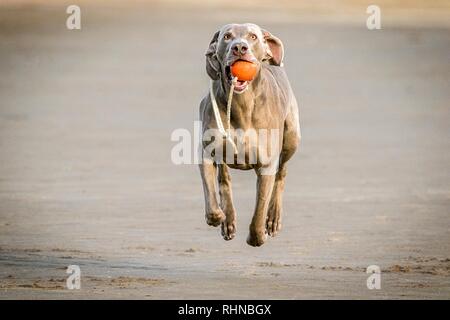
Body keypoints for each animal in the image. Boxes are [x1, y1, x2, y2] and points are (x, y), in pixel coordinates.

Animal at [199, 23, 300, 248]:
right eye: (227, 37)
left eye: (253, 36)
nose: (239, 48)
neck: (241, 104)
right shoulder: (206, 153)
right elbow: (210, 190)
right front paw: (217, 216)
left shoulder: (266, 164)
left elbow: (259, 208)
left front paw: (257, 237)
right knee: (224, 179)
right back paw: (228, 220)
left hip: (292, 136)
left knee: (282, 173)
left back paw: (273, 218)